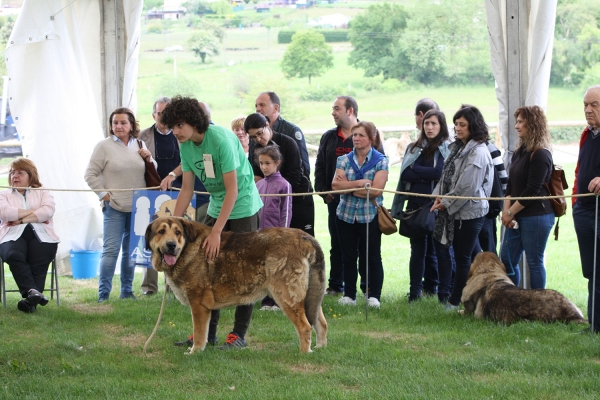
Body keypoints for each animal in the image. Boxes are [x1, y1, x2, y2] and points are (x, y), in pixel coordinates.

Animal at [144, 217, 328, 354]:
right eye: (161, 231)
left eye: (178, 232)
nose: (171, 245)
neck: (186, 249)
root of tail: (306, 238)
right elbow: (206, 329)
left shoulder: (198, 304)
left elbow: (199, 333)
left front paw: (194, 351)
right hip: (310, 297)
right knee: (321, 323)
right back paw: (319, 348)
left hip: (287, 296)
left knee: (305, 327)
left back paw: (304, 353)